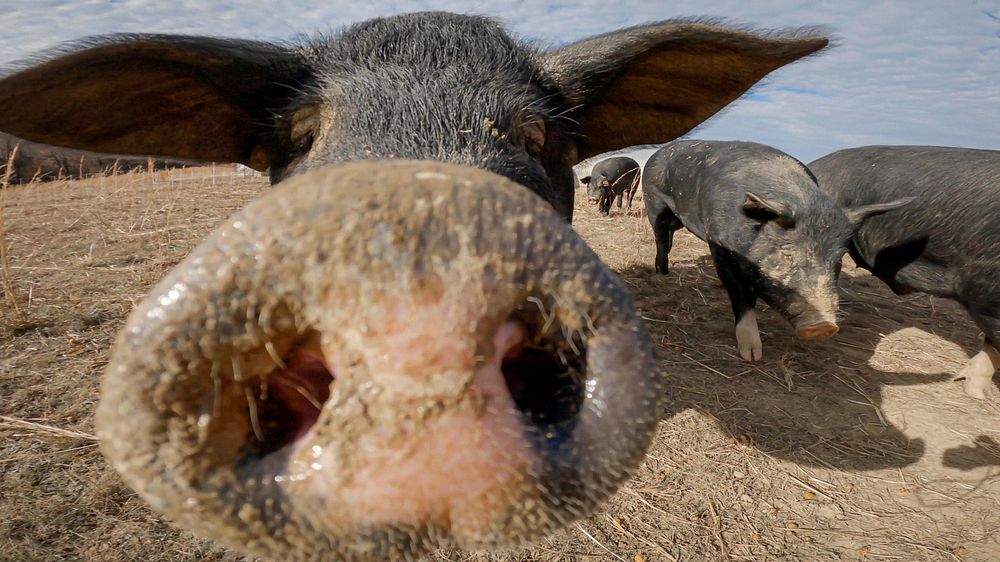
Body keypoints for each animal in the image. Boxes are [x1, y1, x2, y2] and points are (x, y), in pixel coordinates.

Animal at [644, 140, 912, 358]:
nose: (824, 326)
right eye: (787, 254)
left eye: (838, 260)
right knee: (662, 239)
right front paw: (752, 355)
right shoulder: (719, 243)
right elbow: (739, 291)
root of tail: (659, 153)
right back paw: (662, 274)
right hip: (654, 205)